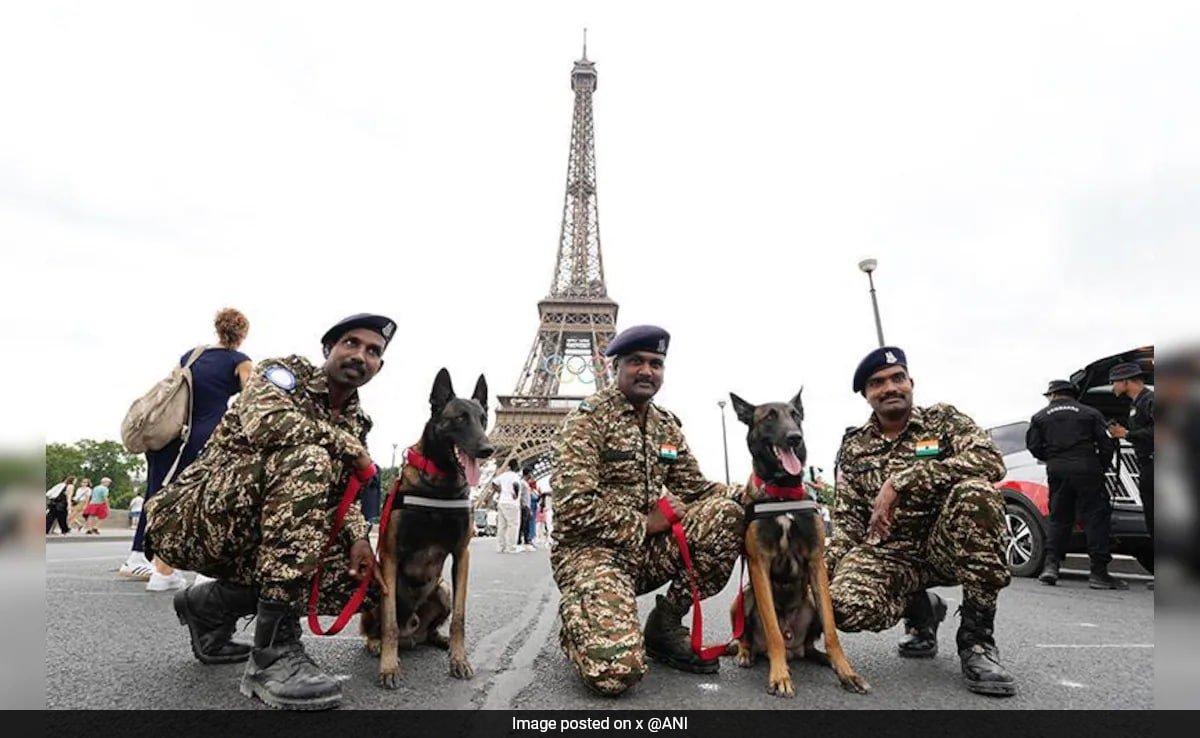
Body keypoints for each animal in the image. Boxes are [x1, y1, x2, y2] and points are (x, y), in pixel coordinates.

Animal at [360, 372, 492, 691]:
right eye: (459, 418)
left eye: (483, 419)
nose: (488, 449)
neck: (440, 484)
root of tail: (413, 636)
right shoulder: (391, 555)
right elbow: (390, 624)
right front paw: (389, 667)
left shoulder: (462, 555)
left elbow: (459, 618)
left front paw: (459, 660)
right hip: (375, 586)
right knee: (380, 628)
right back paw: (376, 643)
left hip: (442, 589)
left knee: (431, 631)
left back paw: (439, 640)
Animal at [724, 393, 868, 700]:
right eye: (769, 417)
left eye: (796, 415)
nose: (794, 438)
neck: (782, 494)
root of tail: (795, 648)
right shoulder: (759, 565)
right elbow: (774, 632)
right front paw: (780, 677)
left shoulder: (816, 563)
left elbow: (832, 632)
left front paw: (846, 672)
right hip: (743, 598)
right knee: (749, 637)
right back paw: (746, 653)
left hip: (811, 599)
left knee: (811, 646)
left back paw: (822, 658)